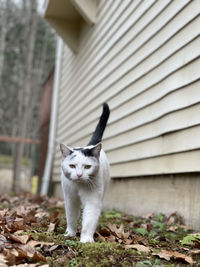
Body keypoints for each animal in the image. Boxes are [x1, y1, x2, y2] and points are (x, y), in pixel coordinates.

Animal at [60, 103, 110, 244]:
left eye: (87, 167)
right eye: (72, 166)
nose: (79, 175)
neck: (79, 187)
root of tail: (90, 145)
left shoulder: (93, 200)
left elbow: (89, 221)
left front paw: (86, 240)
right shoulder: (70, 199)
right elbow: (71, 217)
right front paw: (70, 234)